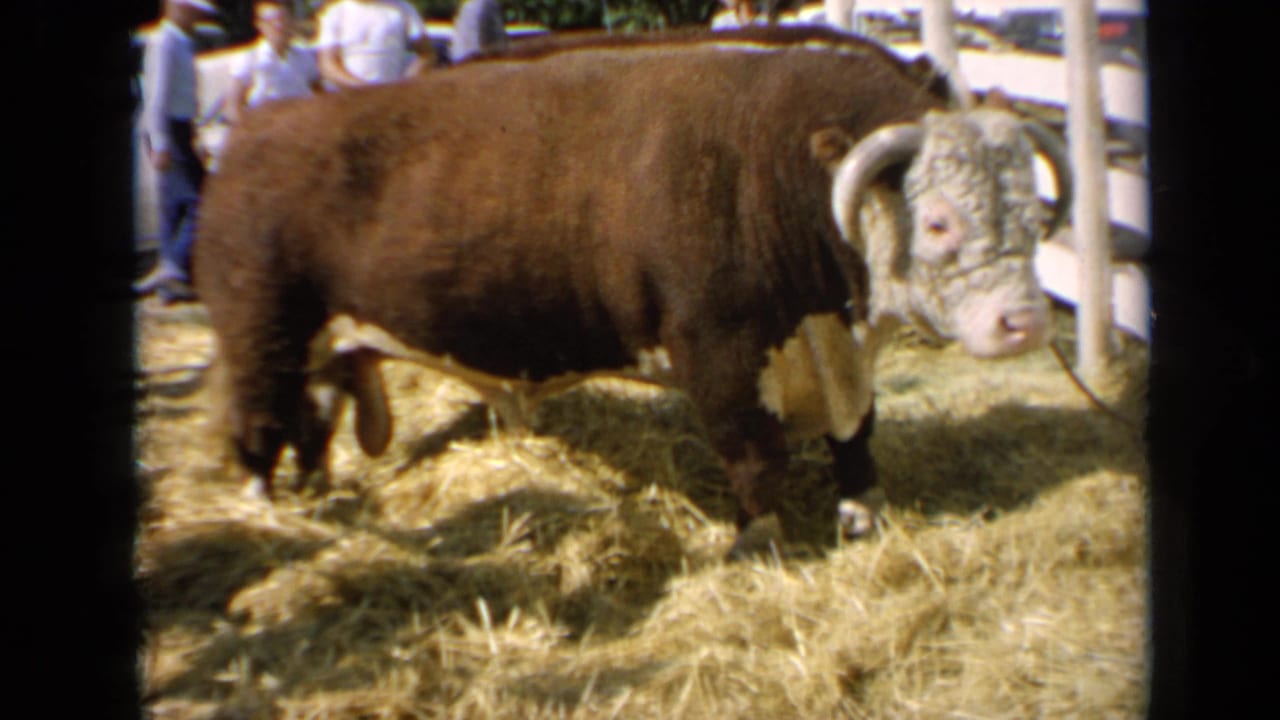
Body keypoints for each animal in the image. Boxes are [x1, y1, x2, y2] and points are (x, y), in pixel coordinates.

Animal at [194, 25, 1071, 544]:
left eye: (1032, 212)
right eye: (939, 223)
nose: (1025, 322)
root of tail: (257, 130)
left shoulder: (835, 361)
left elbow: (857, 441)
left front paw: (860, 516)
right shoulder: (720, 357)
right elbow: (757, 463)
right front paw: (760, 548)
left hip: (318, 346)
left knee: (309, 420)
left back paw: (319, 493)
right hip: (260, 334)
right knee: (260, 426)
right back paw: (266, 517)